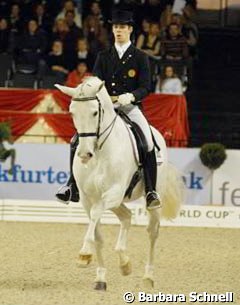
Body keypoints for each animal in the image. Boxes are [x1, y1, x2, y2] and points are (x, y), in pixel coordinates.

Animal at [55, 76, 184, 290]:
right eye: (72, 112)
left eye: (95, 112)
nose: (84, 154)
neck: (100, 152)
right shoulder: (88, 198)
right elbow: (97, 233)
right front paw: (100, 278)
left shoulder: (112, 192)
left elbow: (96, 217)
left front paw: (84, 254)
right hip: (116, 201)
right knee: (126, 216)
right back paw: (124, 262)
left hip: (148, 199)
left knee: (152, 232)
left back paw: (148, 277)